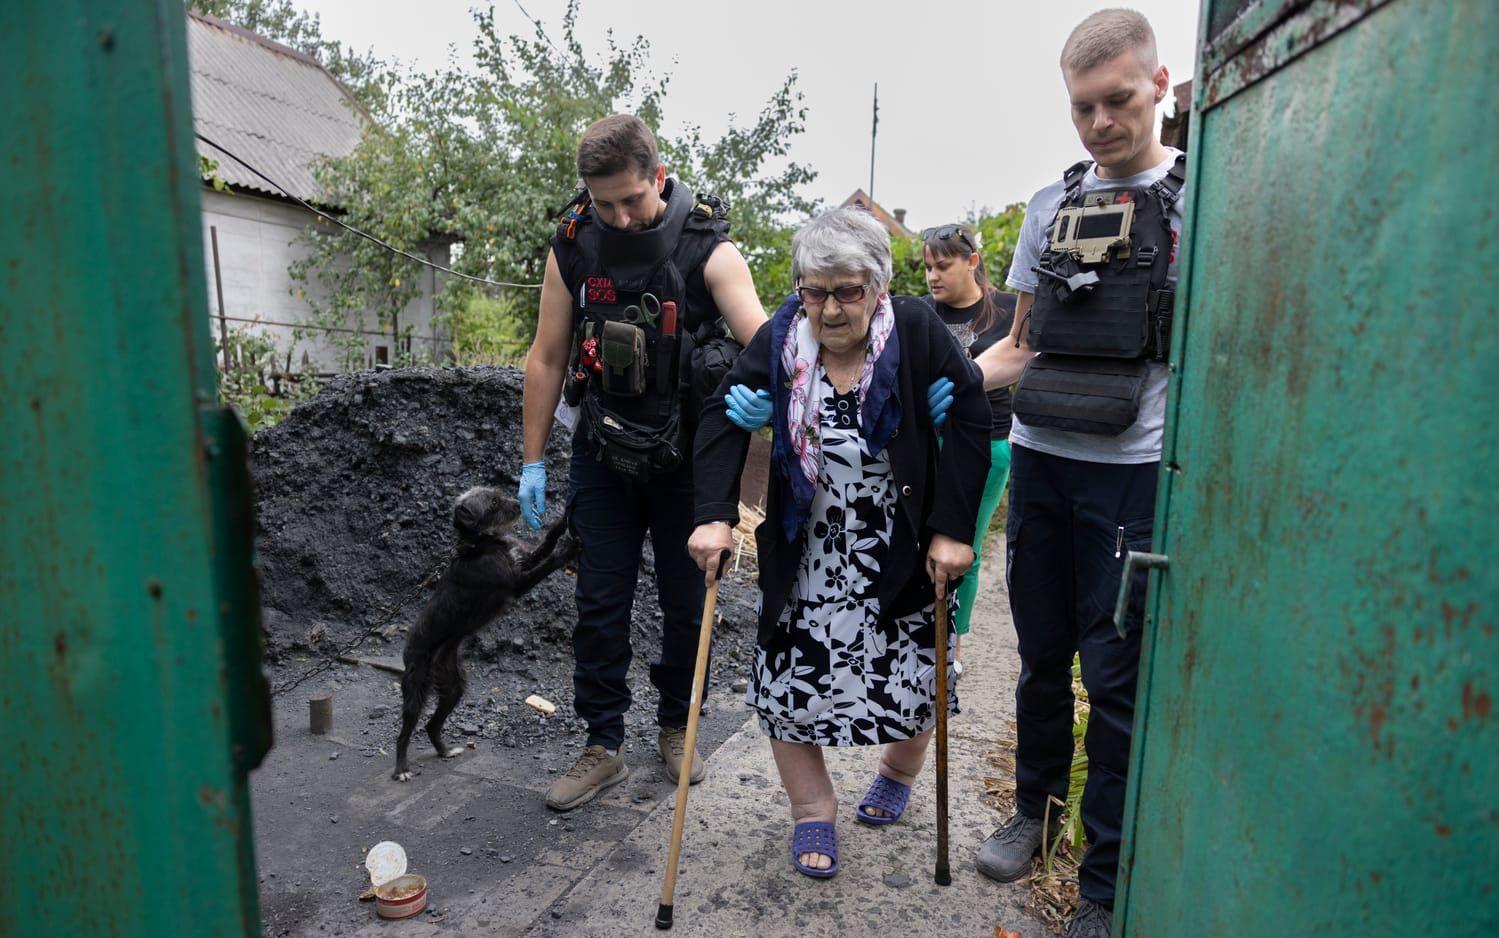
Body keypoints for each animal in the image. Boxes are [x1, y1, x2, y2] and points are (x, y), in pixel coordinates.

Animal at [395, 485, 575, 779]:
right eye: (492, 503)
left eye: (499, 494)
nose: (518, 504)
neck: (483, 543)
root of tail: (408, 649)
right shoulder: (518, 583)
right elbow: (549, 562)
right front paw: (568, 549)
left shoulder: (524, 559)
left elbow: (545, 544)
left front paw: (561, 523)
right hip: (415, 691)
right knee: (404, 733)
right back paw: (401, 769)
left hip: (453, 686)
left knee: (432, 724)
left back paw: (445, 751)